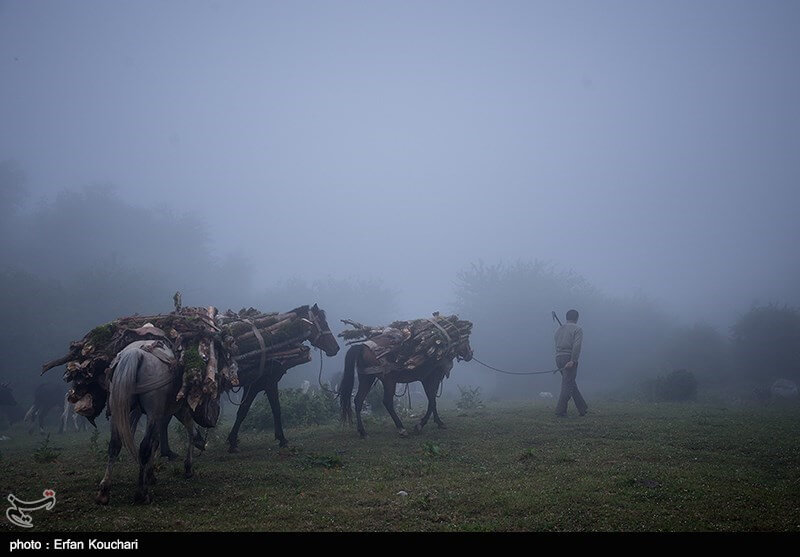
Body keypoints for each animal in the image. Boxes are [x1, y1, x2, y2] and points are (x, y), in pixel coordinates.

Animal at [97, 338, 203, 504]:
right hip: (152, 412)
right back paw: (142, 493)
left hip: (117, 408)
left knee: (114, 444)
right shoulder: (170, 411)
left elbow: (156, 441)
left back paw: (104, 491)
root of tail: (136, 353)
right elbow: (186, 430)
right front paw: (187, 467)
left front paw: (150, 474)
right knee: (144, 447)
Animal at [227, 304, 340, 452]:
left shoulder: (260, 385)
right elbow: (250, 411)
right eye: (323, 323)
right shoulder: (260, 385)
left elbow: (268, 410)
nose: (336, 348)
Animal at [340, 338, 476, 438]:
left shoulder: (429, 380)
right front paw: (421, 425)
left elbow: (432, 401)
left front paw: (438, 422)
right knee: (387, 402)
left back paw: (362, 431)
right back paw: (401, 428)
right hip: (389, 380)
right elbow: (432, 401)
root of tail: (362, 347)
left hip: (367, 378)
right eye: (466, 340)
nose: (470, 354)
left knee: (358, 400)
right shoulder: (429, 379)